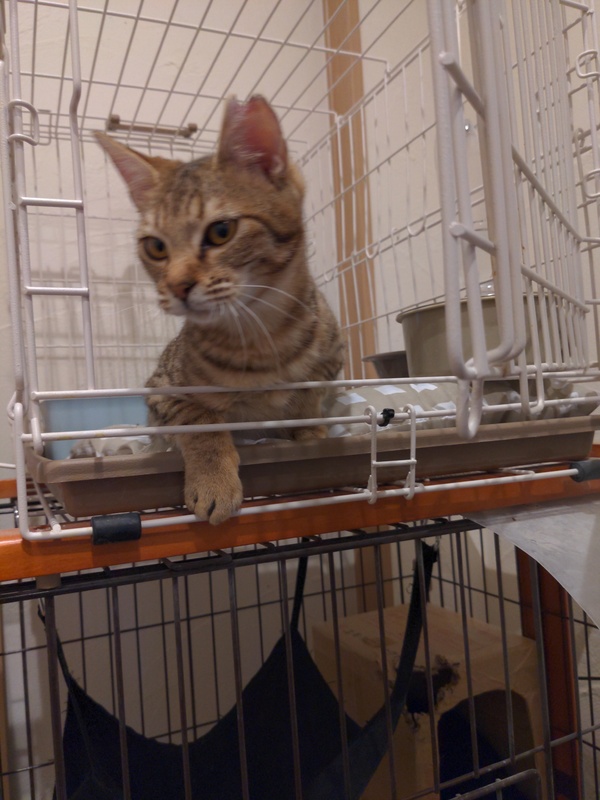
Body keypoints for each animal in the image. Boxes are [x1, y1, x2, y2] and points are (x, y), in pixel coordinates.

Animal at [95, 96, 344, 524]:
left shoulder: (332, 360)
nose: (177, 286)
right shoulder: (162, 393)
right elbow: (200, 421)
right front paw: (214, 480)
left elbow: (308, 396)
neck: (261, 336)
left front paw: (309, 430)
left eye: (221, 231)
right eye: (155, 247)